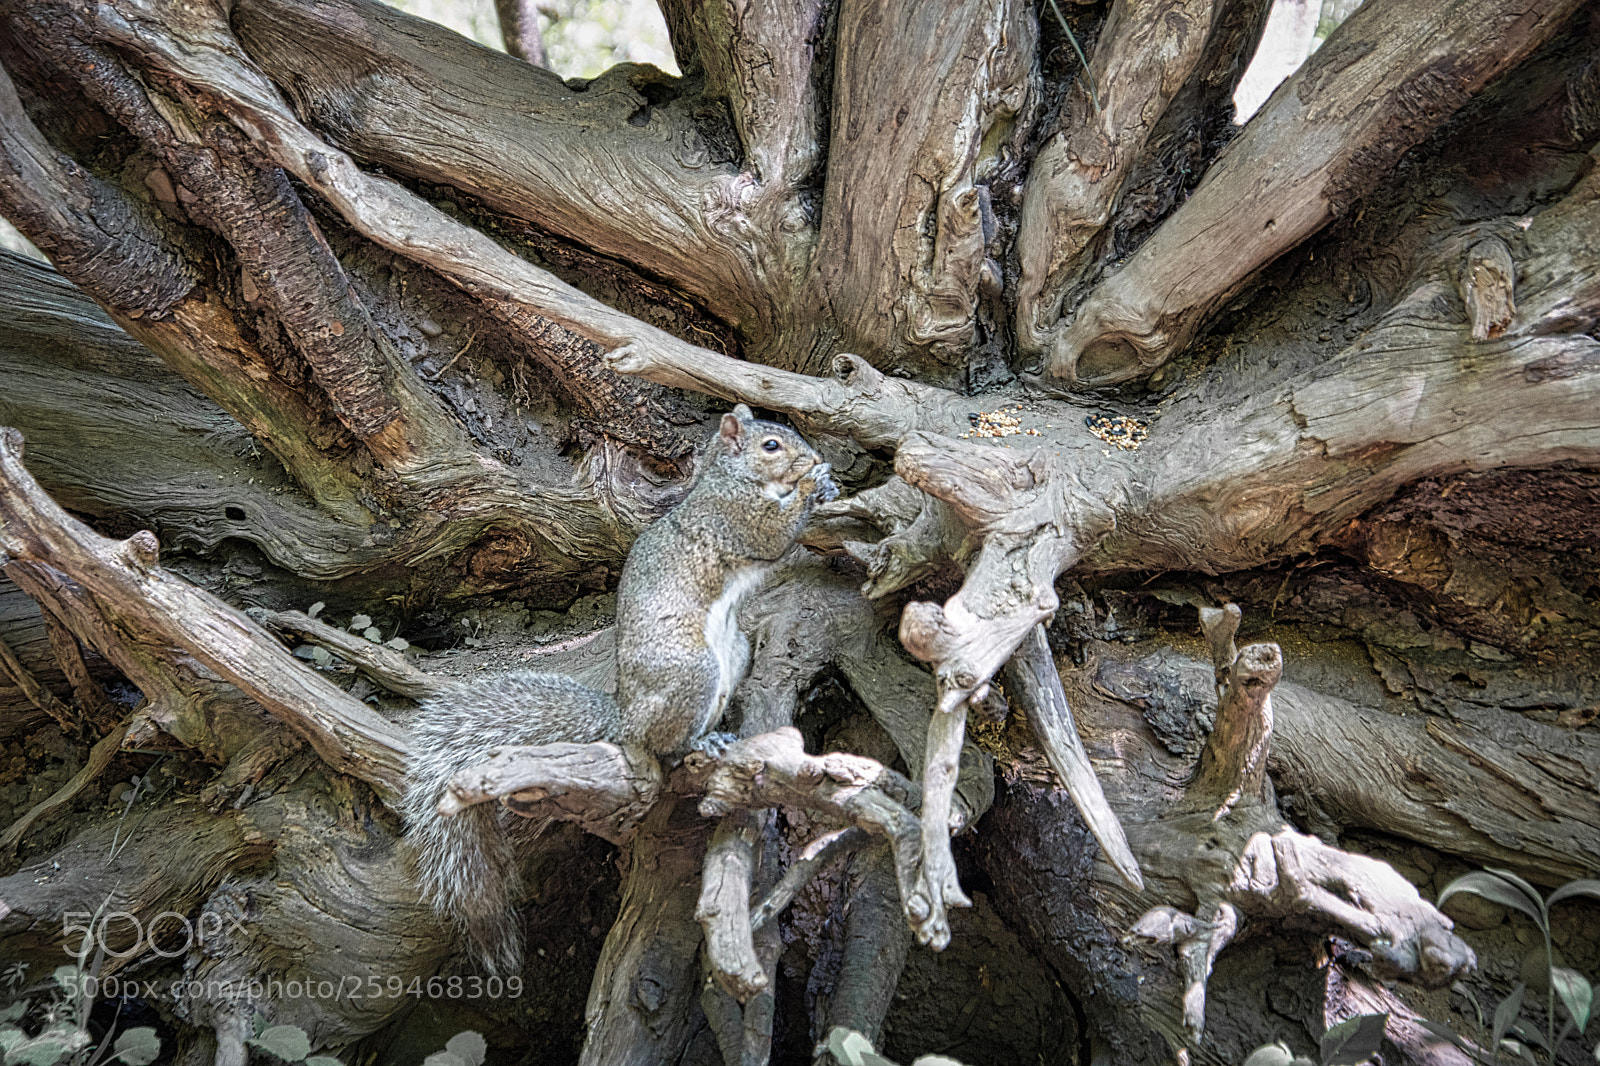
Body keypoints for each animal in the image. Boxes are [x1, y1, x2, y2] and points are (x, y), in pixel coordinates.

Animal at [401, 404, 837, 974]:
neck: (725, 478)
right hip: (692, 671)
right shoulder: (732, 517)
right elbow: (773, 534)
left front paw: (825, 482)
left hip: (735, 651)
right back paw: (699, 742)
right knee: (663, 746)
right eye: (771, 445)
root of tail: (624, 717)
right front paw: (814, 483)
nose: (813, 457)